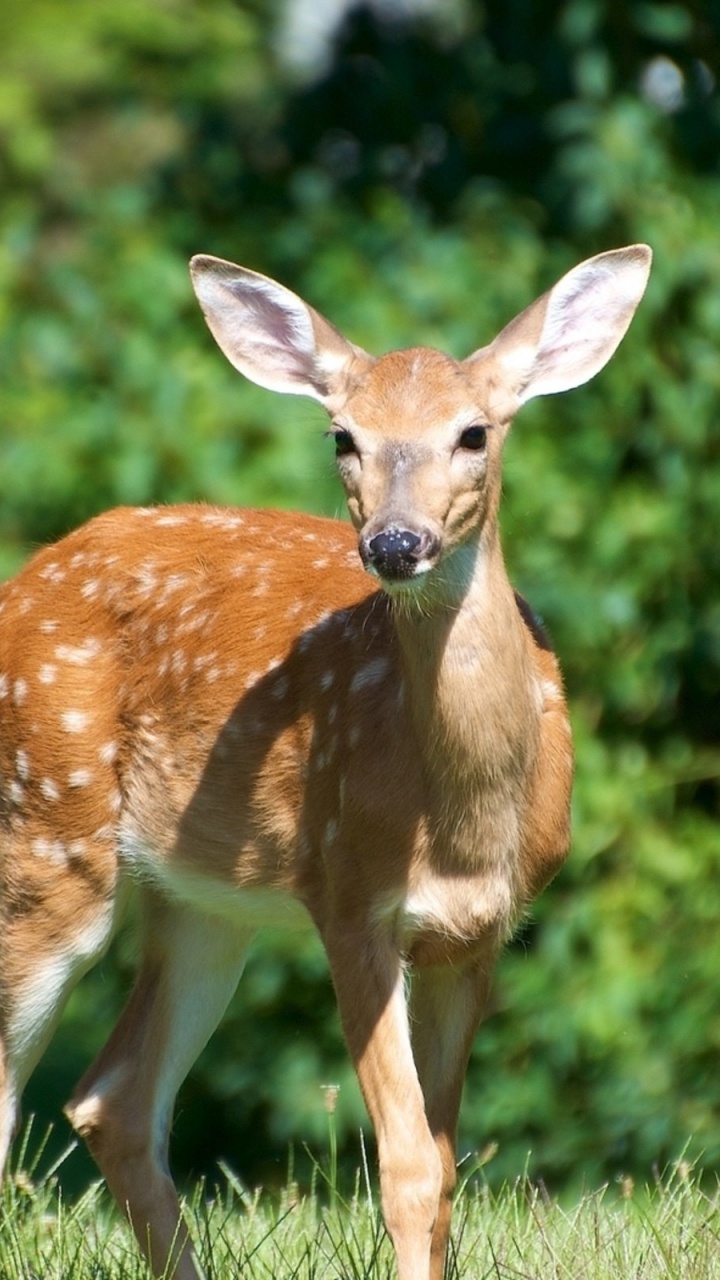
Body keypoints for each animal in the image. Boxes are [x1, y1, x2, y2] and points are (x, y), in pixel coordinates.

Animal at [0, 243, 651, 1280]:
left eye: (474, 432)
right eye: (342, 436)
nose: (395, 542)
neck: (461, 820)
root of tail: (19, 583)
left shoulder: (479, 933)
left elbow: (445, 1167)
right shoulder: (348, 897)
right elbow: (408, 1168)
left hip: (205, 903)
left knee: (115, 1098)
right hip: (46, 838)